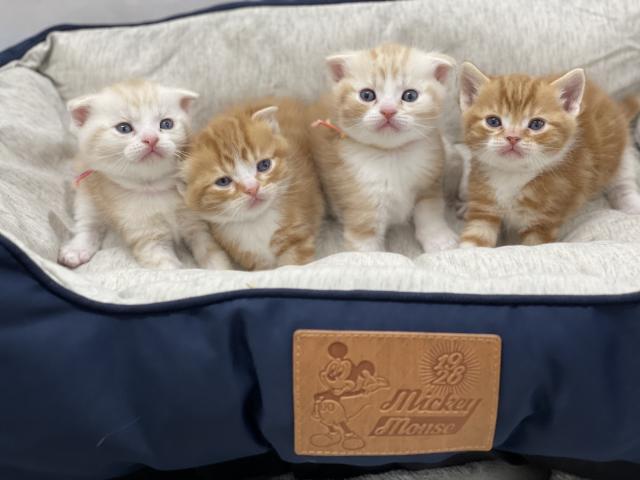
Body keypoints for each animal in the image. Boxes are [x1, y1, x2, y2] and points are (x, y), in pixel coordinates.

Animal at [58, 79, 230, 270]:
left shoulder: (196, 223)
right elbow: (167, 267)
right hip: (87, 192)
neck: (154, 187)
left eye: (166, 124)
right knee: (88, 223)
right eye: (124, 128)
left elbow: (210, 251)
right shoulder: (146, 235)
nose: (151, 139)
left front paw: (222, 270)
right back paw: (77, 249)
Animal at [180, 97, 324, 271]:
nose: (252, 188)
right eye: (223, 181)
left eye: (264, 165)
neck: (256, 222)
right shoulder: (253, 259)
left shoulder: (297, 239)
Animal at [307, 43, 458, 254]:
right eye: (367, 95)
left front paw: (439, 240)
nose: (388, 111)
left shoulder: (429, 183)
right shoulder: (360, 200)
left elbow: (430, 212)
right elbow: (367, 247)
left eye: (410, 96)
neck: (392, 154)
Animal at [458, 62, 640, 248]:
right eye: (493, 121)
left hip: (619, 156)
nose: (512, 137)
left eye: (537, 124)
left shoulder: (543, 221)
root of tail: (613, 105)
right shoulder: (484, 207)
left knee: (622, 183)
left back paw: (632, 206)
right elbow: (474, 239)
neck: (512, 175)